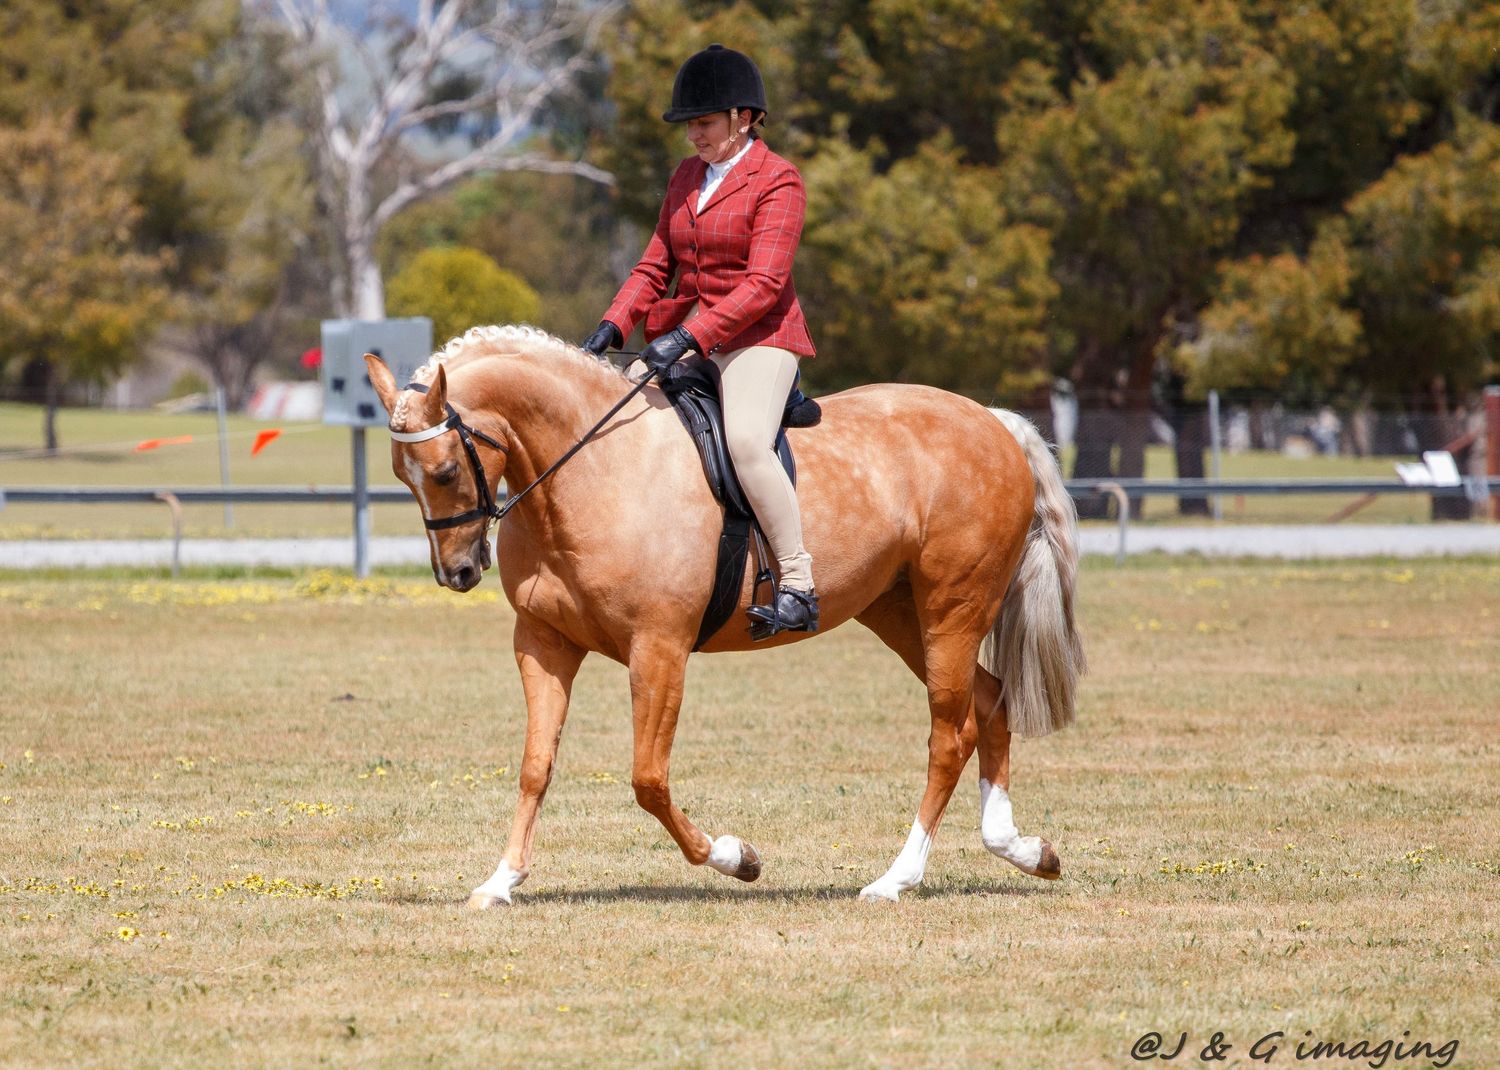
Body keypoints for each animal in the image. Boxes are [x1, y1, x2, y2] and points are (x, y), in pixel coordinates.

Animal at [364, 325, 1084, 907]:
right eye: (402, 475)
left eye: (446, 470)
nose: (457, 573)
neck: (594, 467)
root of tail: (992, 422)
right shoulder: (544, 642)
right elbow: (536, 765)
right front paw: (501, 881)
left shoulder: (659, 649)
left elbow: (648, 780)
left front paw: (737, 858)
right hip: (900, 612)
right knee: (989, 703)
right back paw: (1022, 849)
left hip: (951, 609)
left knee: (948, 736)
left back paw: (895, 879)